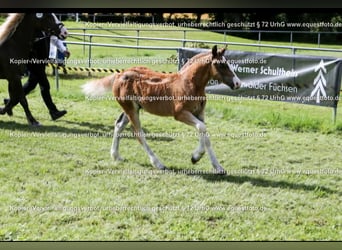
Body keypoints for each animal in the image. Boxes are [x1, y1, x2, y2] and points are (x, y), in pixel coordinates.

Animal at [83, 45, 242, 174]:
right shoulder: (180, 114)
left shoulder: (199, 114)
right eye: (222, 65)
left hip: (133, 107)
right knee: (138, 133)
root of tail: (120, 74)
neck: (189, 83)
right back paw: (158, 164)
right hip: (130, 109)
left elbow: (204, 133)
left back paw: (116, 155)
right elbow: (202, 128)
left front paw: (214, 165)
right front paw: (197, 157)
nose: (237, 83)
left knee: (119, 125)